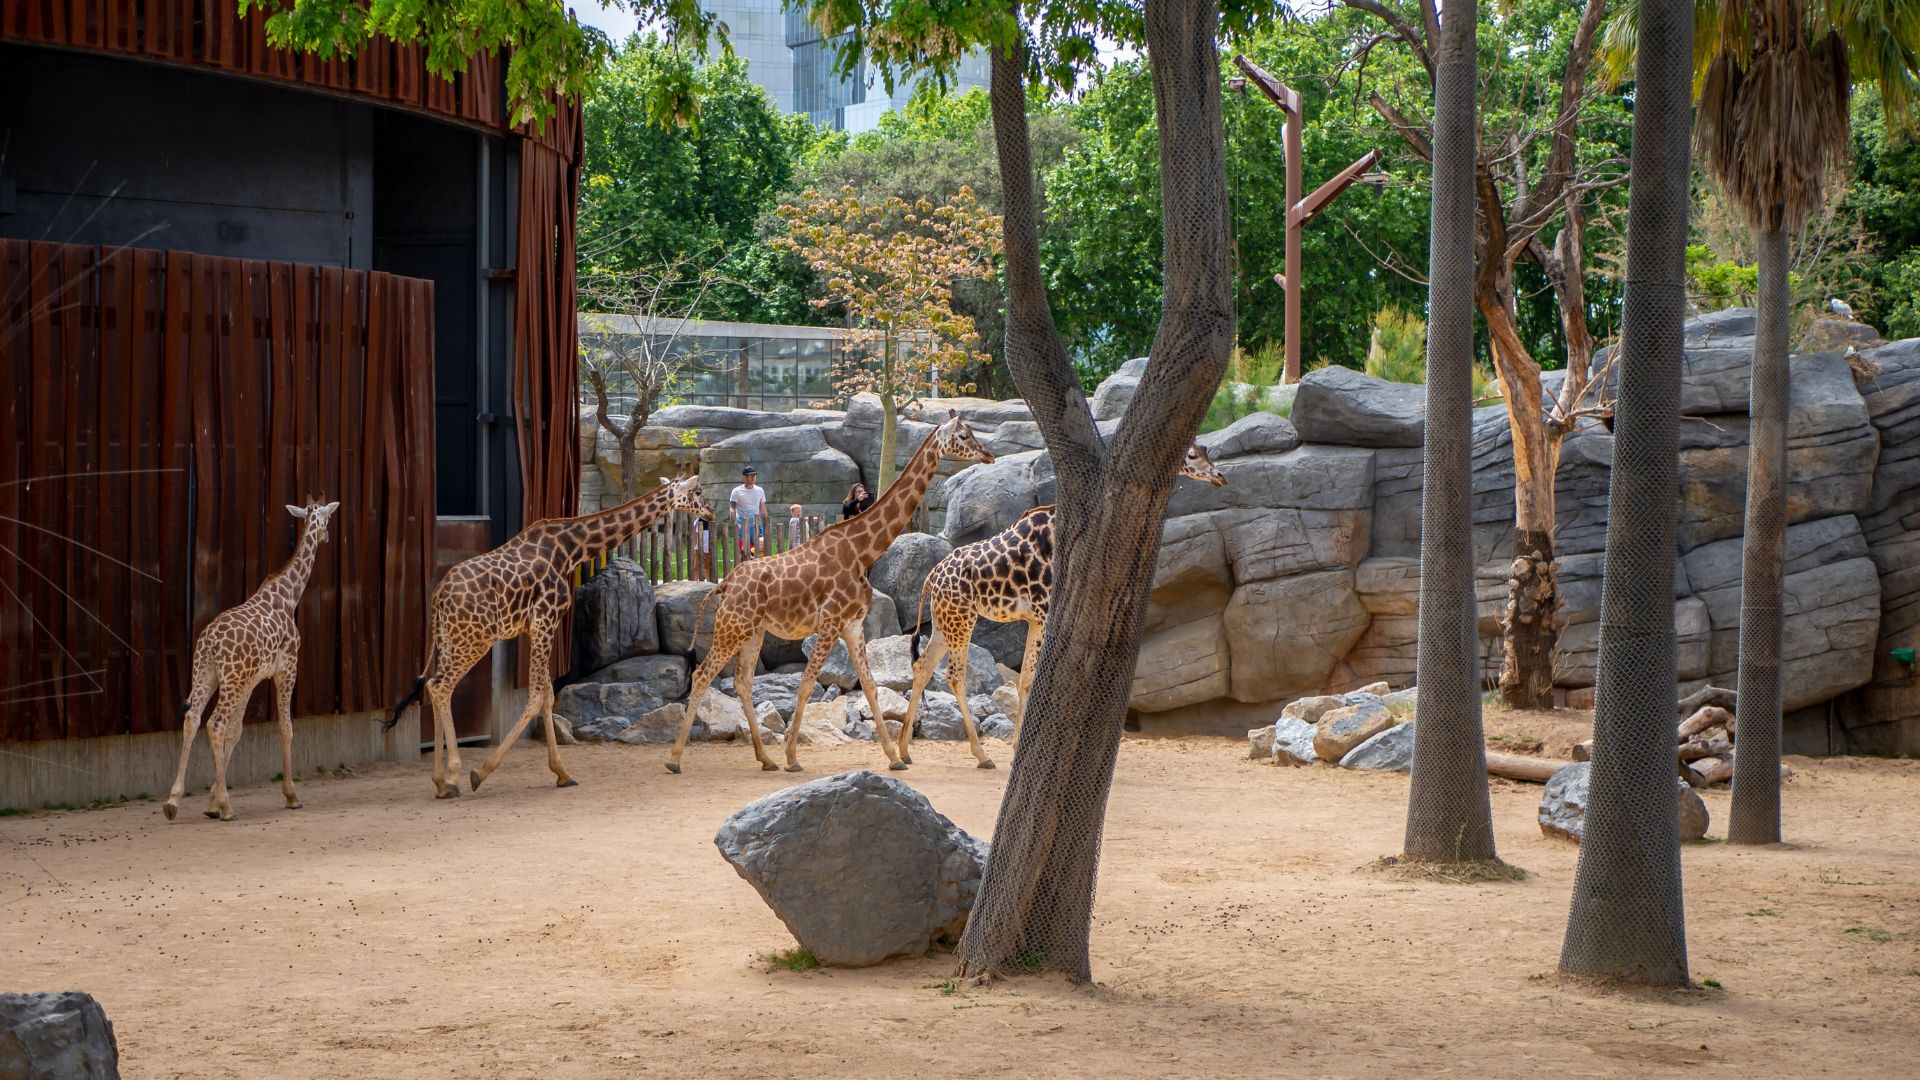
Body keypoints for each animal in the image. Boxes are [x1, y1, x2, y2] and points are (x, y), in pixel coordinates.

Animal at [165, 498, 340, 821]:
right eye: (326, 518)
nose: (326, 537)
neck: (288, 595)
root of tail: (210, 643)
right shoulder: (287, 668)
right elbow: (285, 727)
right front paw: (291, 795)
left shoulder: (252, 678)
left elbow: (236, 732)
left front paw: (210, 801)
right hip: (230, 680)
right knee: (215, 724)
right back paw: (227, 807)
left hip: (207, 674)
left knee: (193, 718)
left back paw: (173, 801)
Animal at [385, 469, 714, 799]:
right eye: (697, 491)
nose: (710, 511)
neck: (571, 550)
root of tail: (439, 597)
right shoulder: (547, 618)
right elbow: (536, 697)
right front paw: (481, 772)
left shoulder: (534, 627)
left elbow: (546, 696)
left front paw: (562, 773)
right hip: (476, 639)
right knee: (441, 686)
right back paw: (454, 774)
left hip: (448, 638)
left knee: (433, 685)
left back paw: (441, 782)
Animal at [669, 409, 994, 774]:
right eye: (964, 436)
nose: (988, 455)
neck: (861, 551)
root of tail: (724, 584)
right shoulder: (830, 622)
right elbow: (807, 683)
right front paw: (793, 757)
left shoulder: (852, 625)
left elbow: (870, 686)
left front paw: (894, 757)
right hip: (732, 627)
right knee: (702, 674)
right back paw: (675, 759)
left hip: (753, 630)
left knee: (741, 681)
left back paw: (765, 759)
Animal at [899, 442, 1228, 767]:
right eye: (1192, 454)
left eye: (1206, 449)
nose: (1220, 476)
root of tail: (930, 578)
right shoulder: (1045, 612)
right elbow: (1035, 679)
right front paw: (1021, 750)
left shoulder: (1035, 618)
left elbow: (1025, 679)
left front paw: (1018, 747)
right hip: (961, 619)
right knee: (954, 675)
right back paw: (980, 755)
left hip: (944, 620)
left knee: (923, 666)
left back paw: (903, 751)